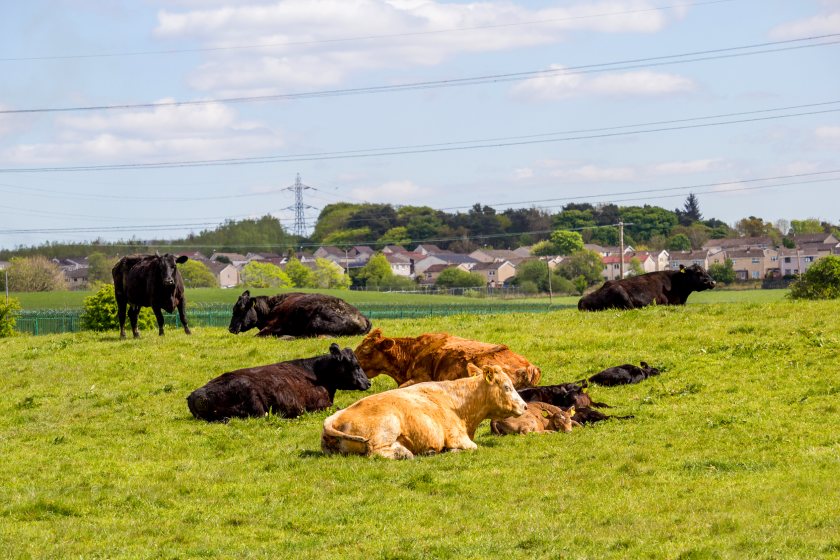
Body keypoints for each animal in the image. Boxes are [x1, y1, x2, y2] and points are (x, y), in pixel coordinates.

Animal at [228, 291, 372, 339]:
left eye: (240, 308)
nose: (230, 328)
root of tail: (363, 317)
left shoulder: (273, 327)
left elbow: (257, 335)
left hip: (315, 321)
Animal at [321, 364, 527, 459]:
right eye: (507, 387)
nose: (525, 406)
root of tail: (334, 418)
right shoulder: (458, 438)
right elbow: (472, 447)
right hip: (387, 426)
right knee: (376, 452)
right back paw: (405, 453)